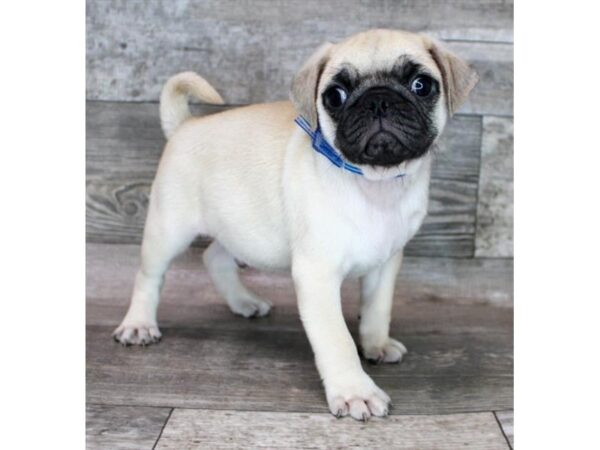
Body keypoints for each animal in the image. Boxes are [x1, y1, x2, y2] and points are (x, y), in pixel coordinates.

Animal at [112, 29, 478, 422]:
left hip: (238, 225)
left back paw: (244, 301)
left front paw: (376, 344)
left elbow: (378, 310)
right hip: (169, 228)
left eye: (421, 85)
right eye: (335, 96)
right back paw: (139, 324)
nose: (378, 101)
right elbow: (336, 339)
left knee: (215, 257)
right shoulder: (317, 276)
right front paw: (355, 392)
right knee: (149, 276)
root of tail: (185, 125)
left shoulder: (386, 263)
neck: (374, 183)